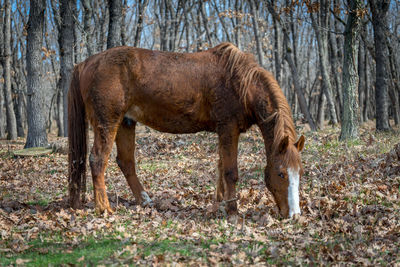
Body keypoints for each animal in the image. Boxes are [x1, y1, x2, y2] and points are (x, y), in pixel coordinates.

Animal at [69, 43, 304, 219]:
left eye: (299, 172)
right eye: (281, 173)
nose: (294, 215)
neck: (241, 84)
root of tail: (85, 63)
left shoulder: (224, 132)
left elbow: (221, 167)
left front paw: (219, 203)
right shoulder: (228, 128)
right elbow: (230, 172)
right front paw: (232, 211)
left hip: (126, 123)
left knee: (126, 162)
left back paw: (145, 201)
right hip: (108, 123)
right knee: (98, 160)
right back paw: (104, 208)